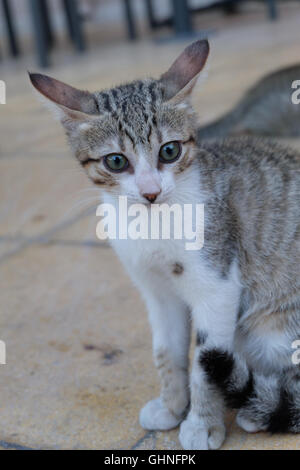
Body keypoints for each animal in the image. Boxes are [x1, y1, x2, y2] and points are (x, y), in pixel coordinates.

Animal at [29, 39, 300, 448]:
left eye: (169, 151)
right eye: (116, 161)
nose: (151, 192)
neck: (152, 225)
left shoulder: (217, 285)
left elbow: (205, 360)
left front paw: (202, 423)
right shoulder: (155, 291)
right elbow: (166, 352)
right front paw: (172, 406)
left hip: (275, 328)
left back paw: (262, 409)